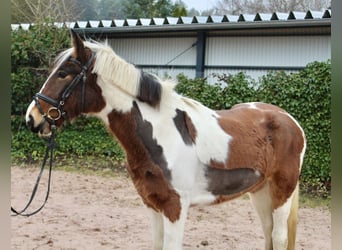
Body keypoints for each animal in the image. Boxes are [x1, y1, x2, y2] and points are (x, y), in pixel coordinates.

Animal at [25, 30, 306, 250]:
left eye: (63, 73)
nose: (32, 118)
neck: (162, 133)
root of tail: (290, 119)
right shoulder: (152, 204)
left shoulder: (175, 208)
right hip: (260, 192)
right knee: (269, 236)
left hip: (282, 191)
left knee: (279, 238)